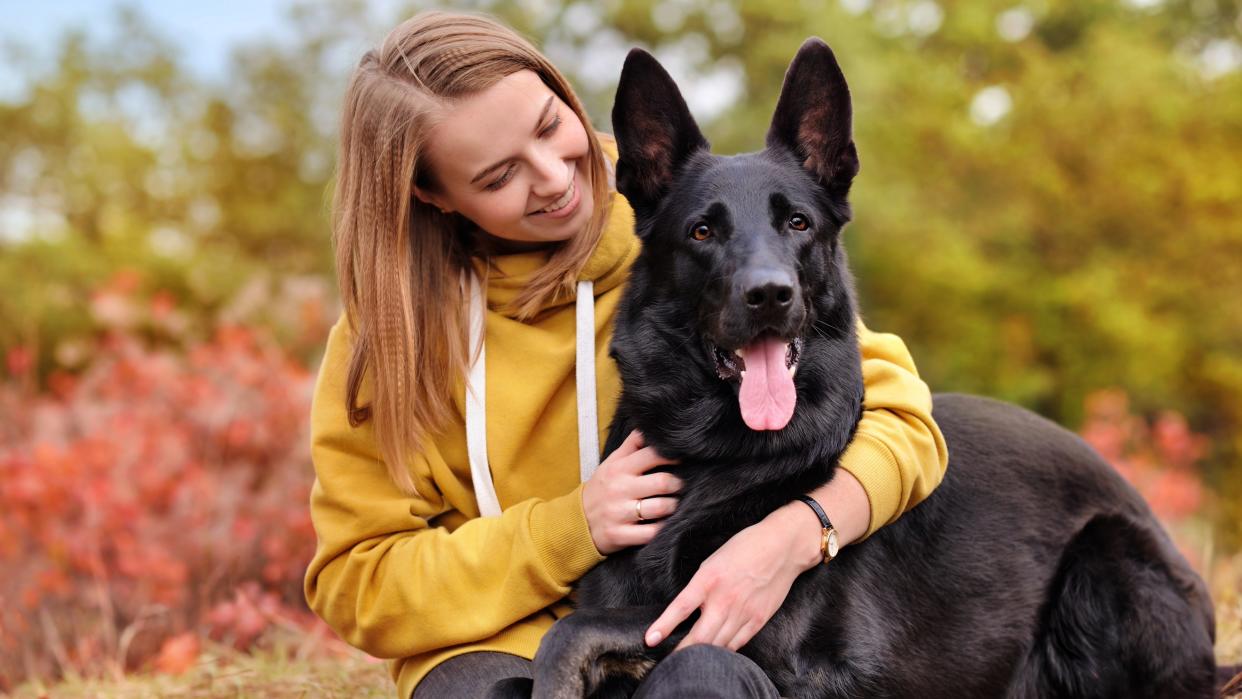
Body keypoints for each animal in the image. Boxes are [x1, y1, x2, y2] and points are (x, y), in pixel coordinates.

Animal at [504, 39, 1232, 699]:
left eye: (798, 223)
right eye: (702, 232)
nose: (770, 295)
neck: (716, 457)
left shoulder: (757, 631)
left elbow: (571, 632)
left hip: (1102, 562)